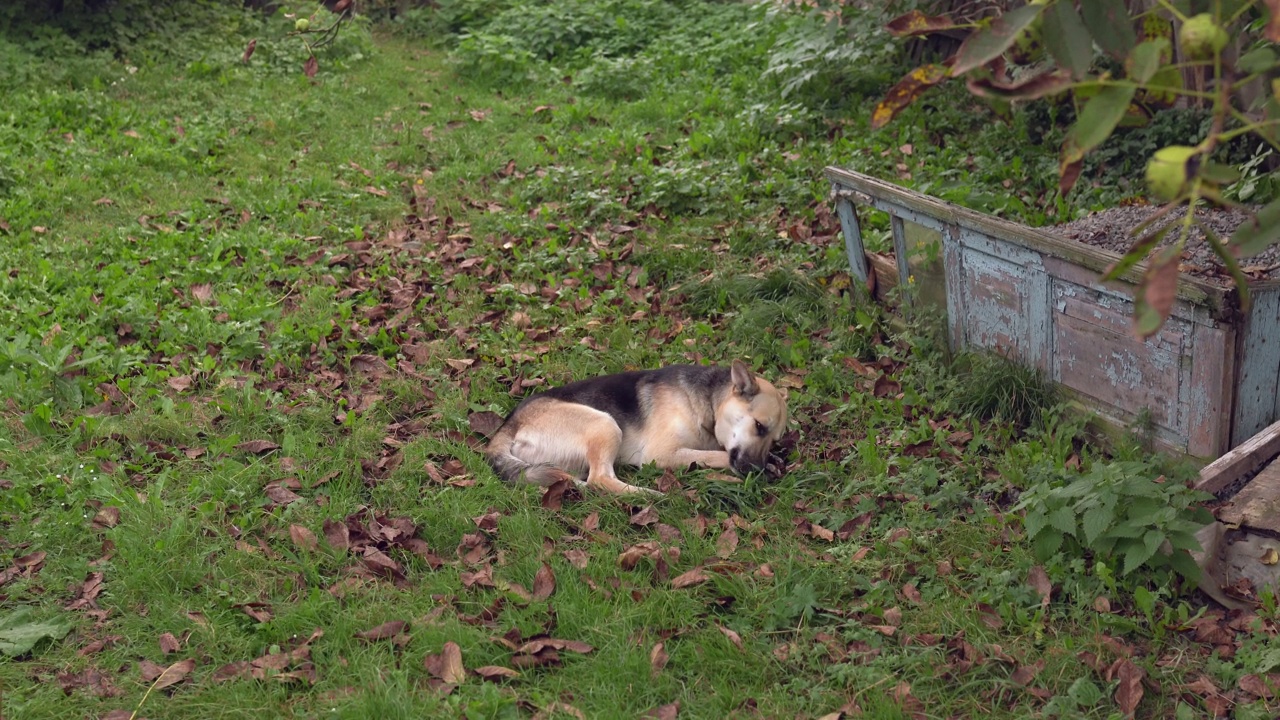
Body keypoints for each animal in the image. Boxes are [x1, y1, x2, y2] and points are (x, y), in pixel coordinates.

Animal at [481, 358, 788, 491]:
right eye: (759, 426)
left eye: (774, 440)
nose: (755, 470)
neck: (709, 403)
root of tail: (507, 427)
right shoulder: (660, 454)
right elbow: (717, 455)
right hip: (604, 423)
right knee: (600, 481)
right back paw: (649, 495)